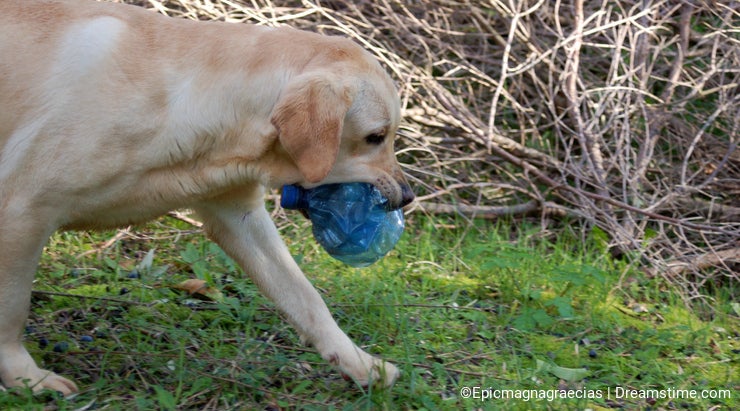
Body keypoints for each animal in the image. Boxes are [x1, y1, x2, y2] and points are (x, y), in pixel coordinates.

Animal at [0, 0, 410, 396]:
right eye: (375, 137)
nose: (407, 196)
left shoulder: (238, 214)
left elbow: (305, 297)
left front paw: (361, 363)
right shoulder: (23, 211)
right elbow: (12, 307)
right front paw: (26, 379)